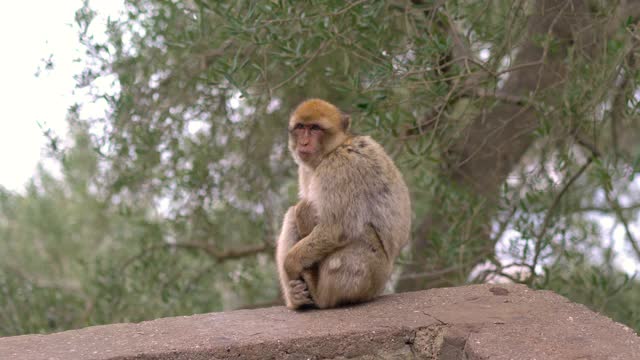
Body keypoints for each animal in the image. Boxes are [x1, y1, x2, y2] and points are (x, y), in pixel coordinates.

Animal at [274, 98, 412, 310]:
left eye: (315, 128)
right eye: (301, 127)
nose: (304, 142)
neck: (334, 148)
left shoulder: (340, 166)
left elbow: (337, 228)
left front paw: (290, 264)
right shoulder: (306, 170)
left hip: (371, 280)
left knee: (361, 233)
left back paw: (319, 294)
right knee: (293, 215)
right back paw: (297, 298)